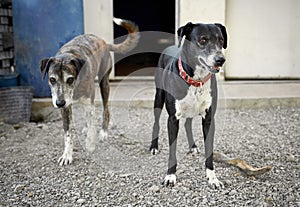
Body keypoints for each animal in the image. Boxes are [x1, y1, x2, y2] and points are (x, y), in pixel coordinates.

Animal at [150, 22, 227, 188]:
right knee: (156, 122)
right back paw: (153, 147)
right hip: (159, 96)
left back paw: (193, 147)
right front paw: (170, 176)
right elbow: (172, 150)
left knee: (188, 124)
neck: (196, 80)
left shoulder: (209, 118)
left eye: (221, 40)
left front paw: (212, 178)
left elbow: (209, 150)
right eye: (203, 40)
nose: (220, 59)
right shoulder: (173, 119)